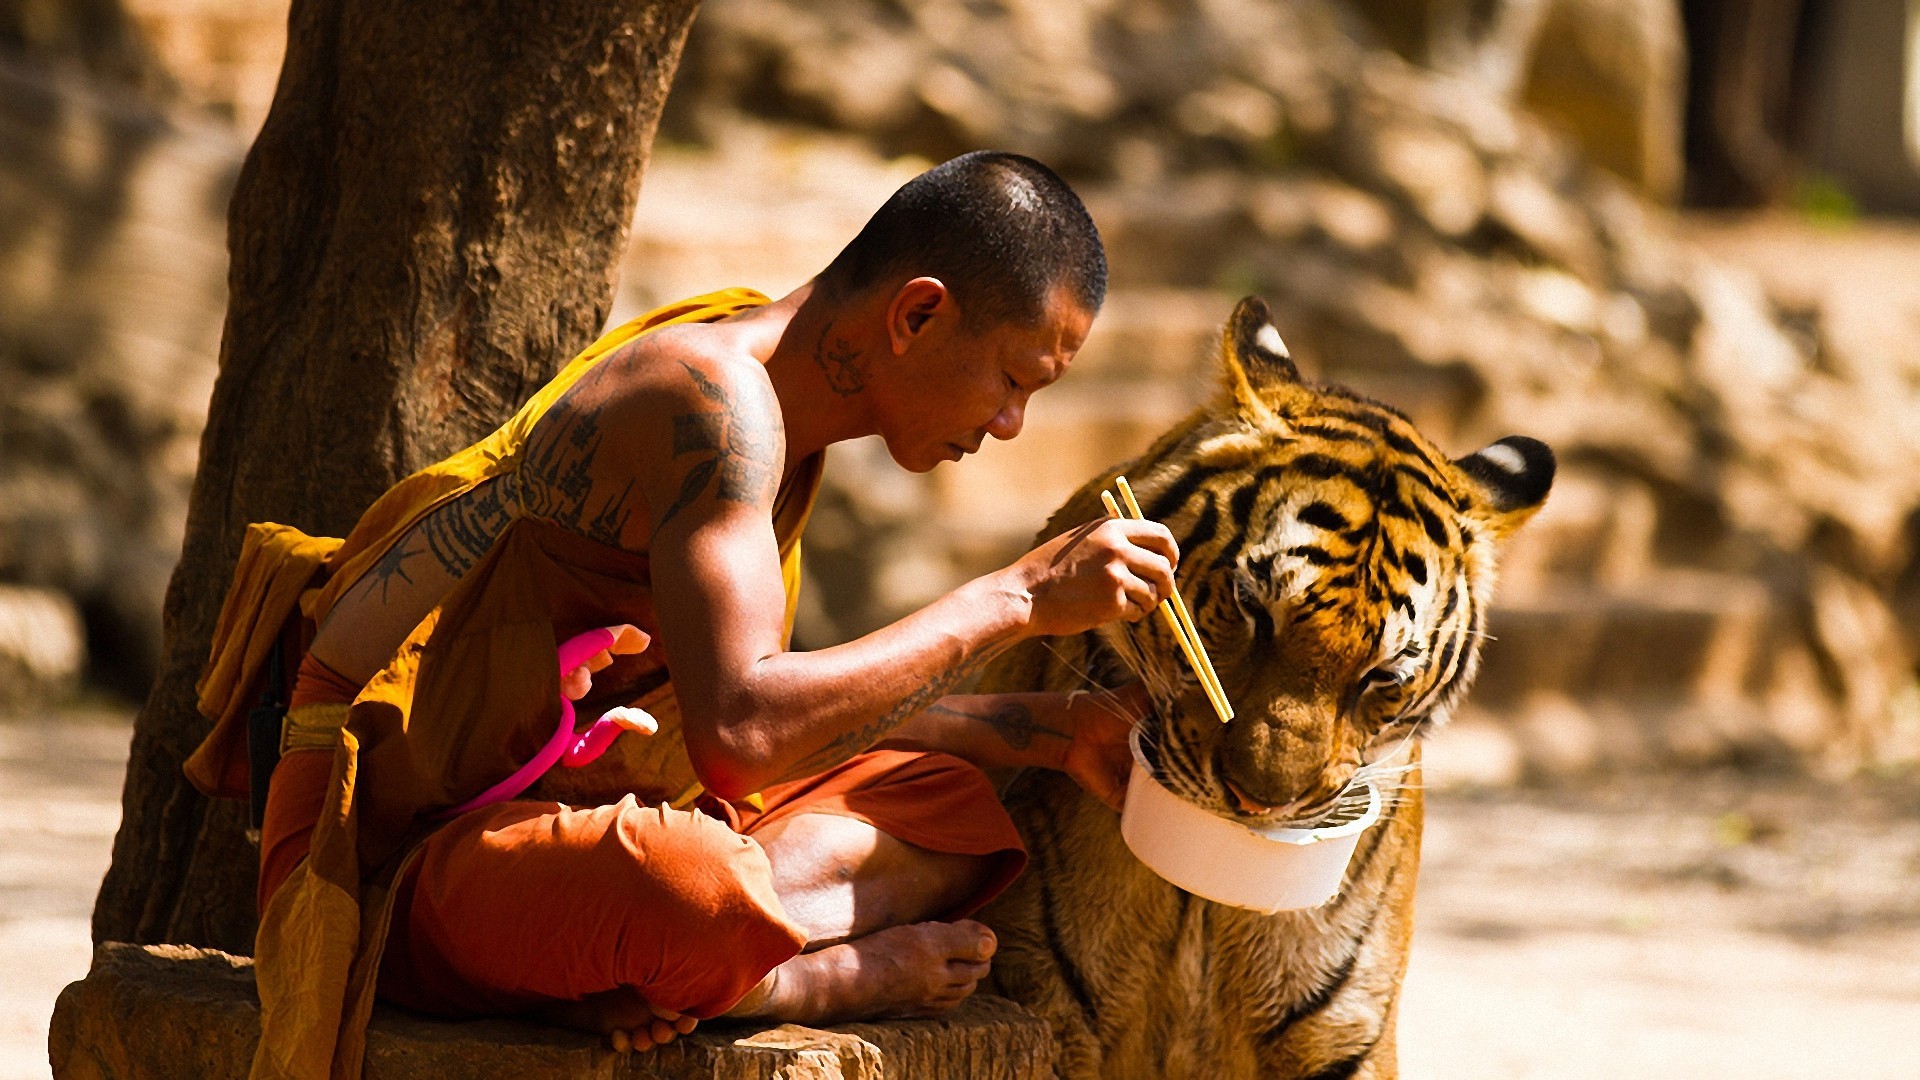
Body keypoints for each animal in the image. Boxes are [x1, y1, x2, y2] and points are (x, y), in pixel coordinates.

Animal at [975, 295, 1554, 1079]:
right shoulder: (1043, 999)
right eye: (1253, 610)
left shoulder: (1343, 1031)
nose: (1257, 802)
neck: (1203, 902)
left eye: (1383, 676)